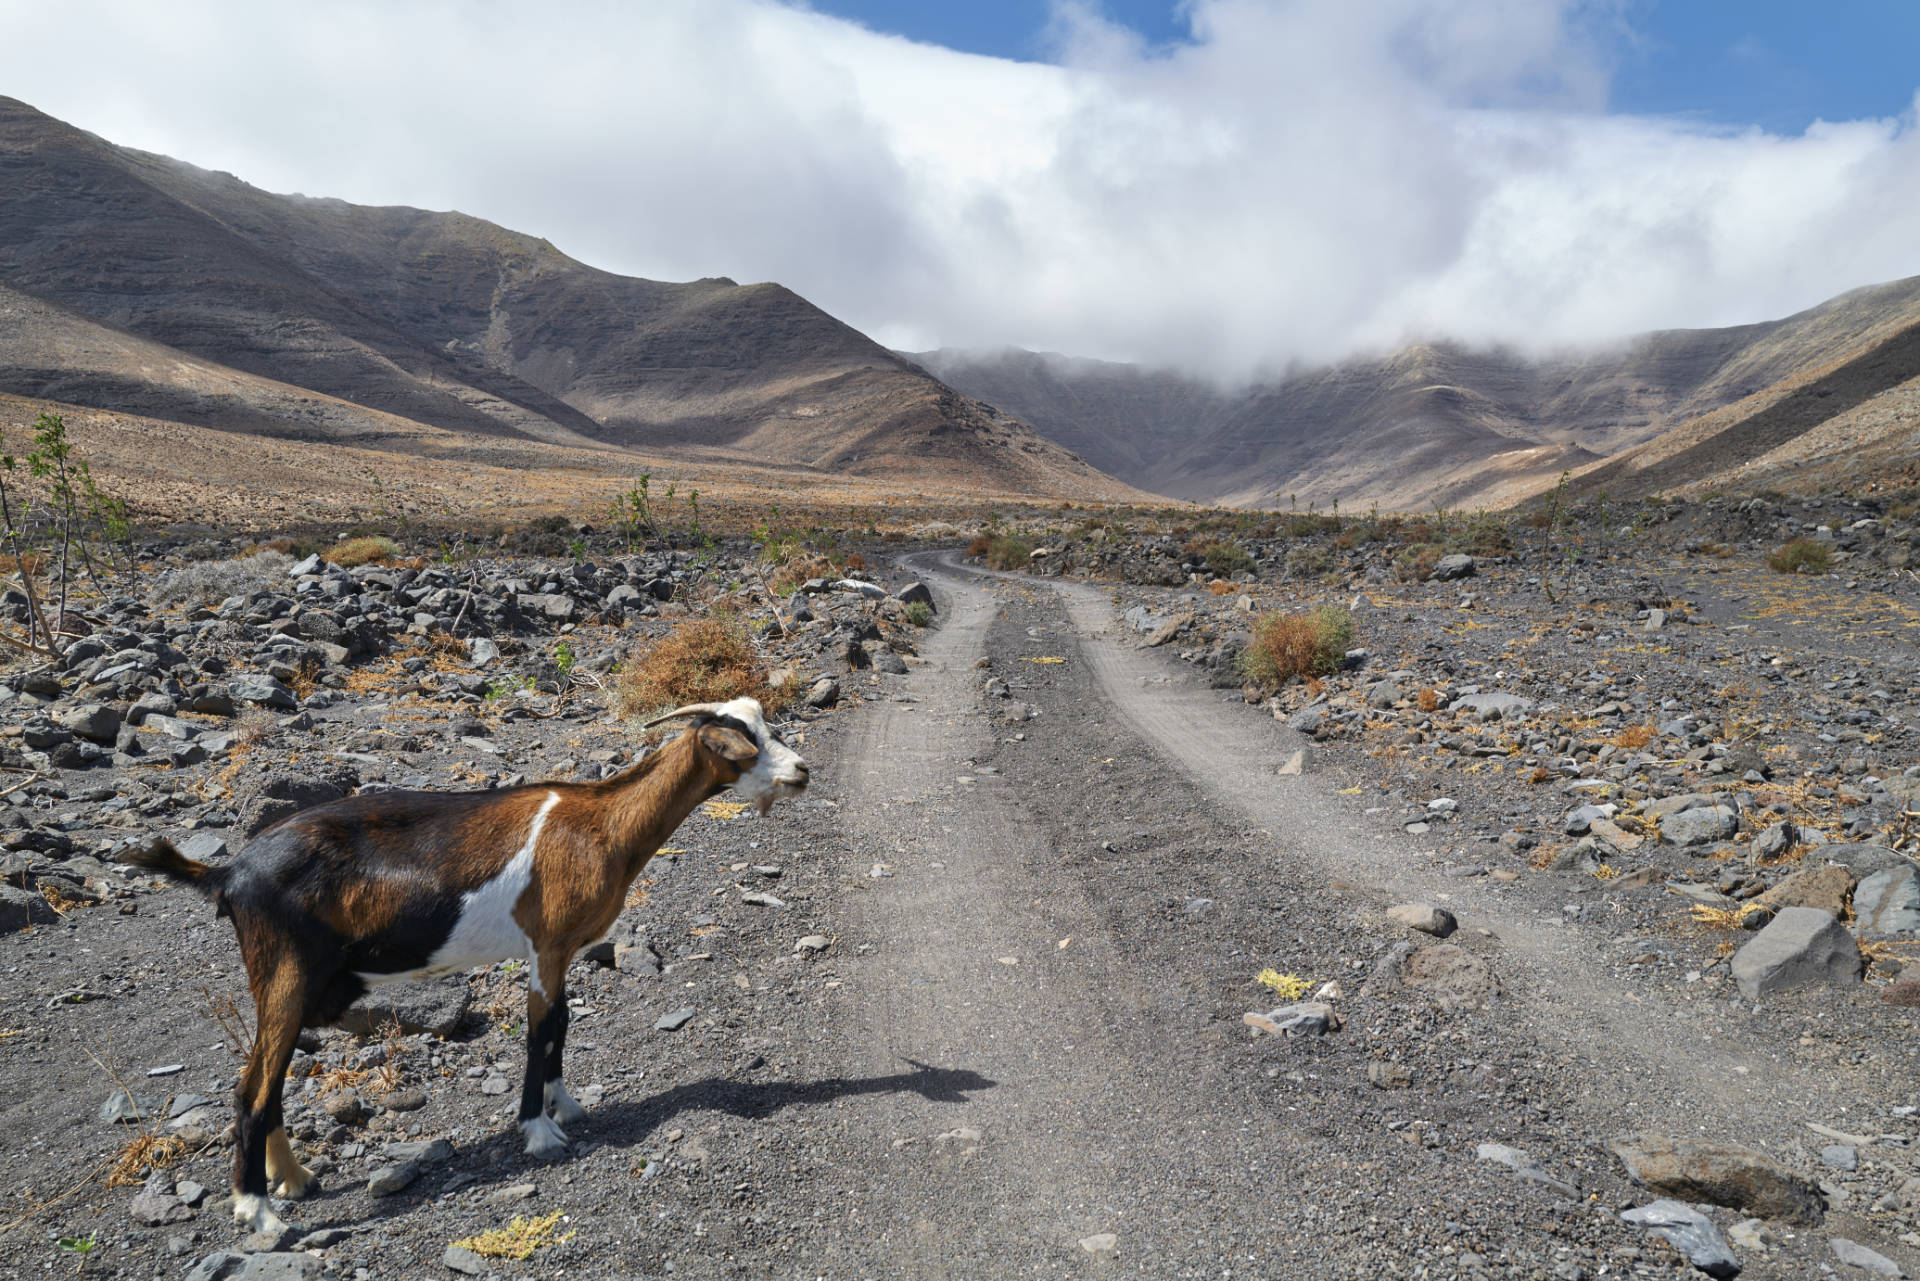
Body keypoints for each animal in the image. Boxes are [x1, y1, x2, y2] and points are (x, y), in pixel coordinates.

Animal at [118, 695, 810, 1236]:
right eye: (742, 747)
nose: (802, 771)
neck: (599, 824)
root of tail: (228, 873)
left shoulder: (560, 952)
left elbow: (562, 1026)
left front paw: (566, 1105)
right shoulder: (547, 944)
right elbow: (542, 1030)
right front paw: (538, 1131)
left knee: (270, 1079)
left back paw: (294, 1179)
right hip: (284, 974)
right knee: (252, 1089)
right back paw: (257, 1212)